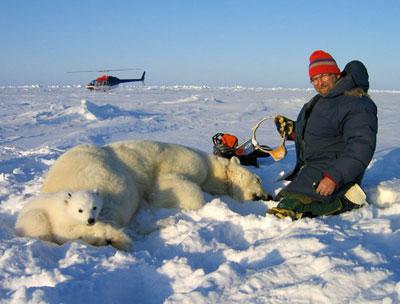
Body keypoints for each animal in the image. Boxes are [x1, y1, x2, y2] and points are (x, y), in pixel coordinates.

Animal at [18, 140, 268, 249]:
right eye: (258, 180)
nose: (266, 196)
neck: (211, 167)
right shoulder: (184, 163)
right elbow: (173, 186)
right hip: (105, 175)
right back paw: (116, 237)